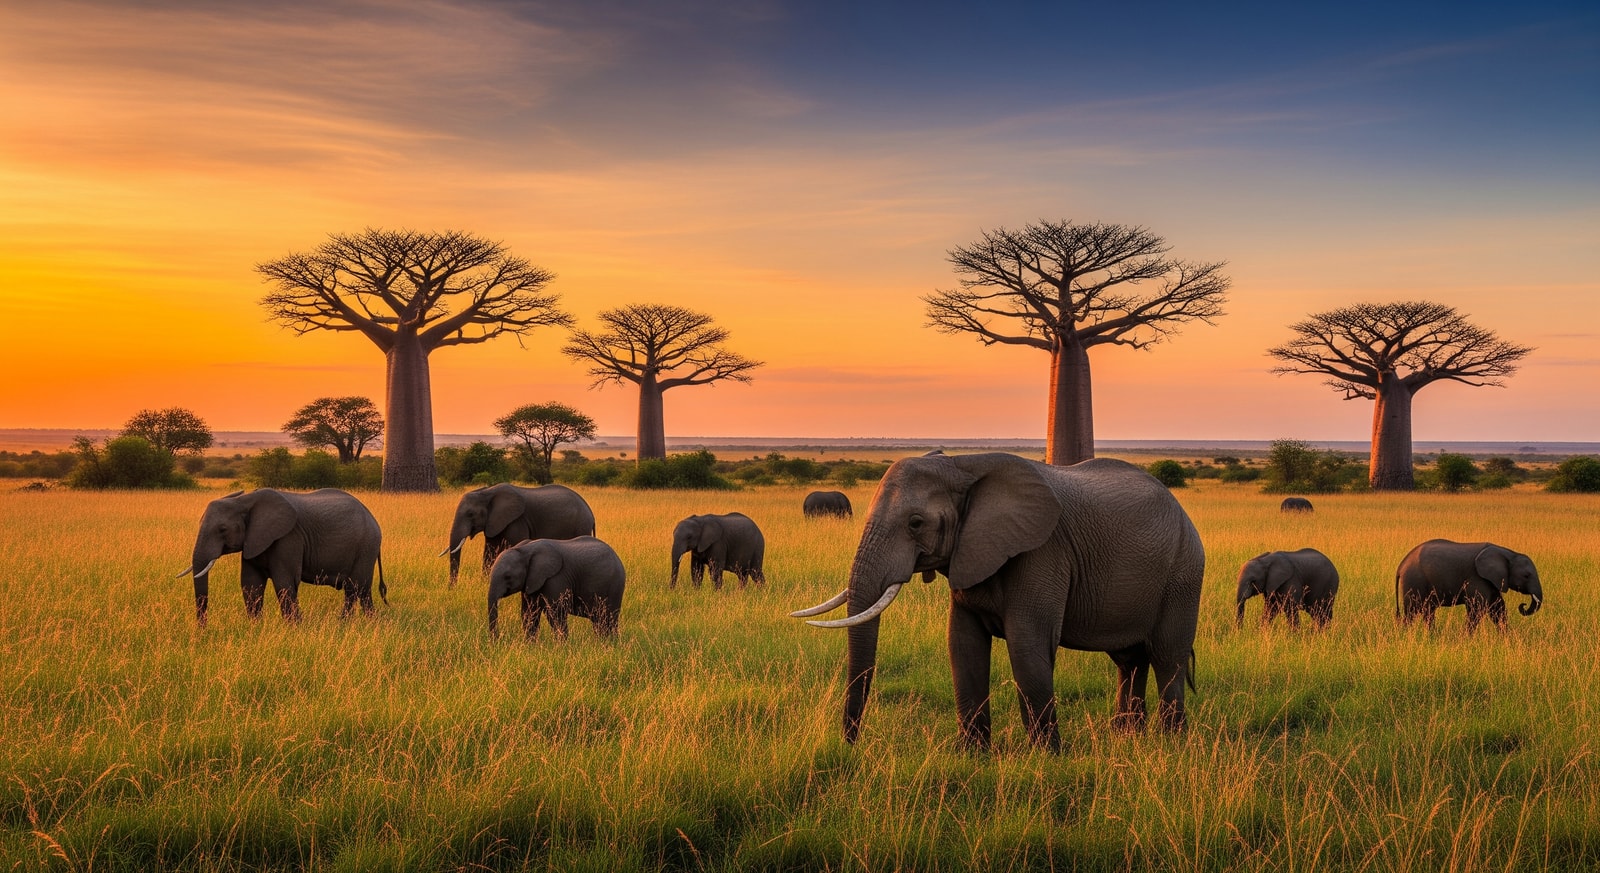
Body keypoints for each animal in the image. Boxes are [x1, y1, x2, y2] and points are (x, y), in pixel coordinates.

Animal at [177, 488, 385, 626]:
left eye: (222, 529)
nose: (202, 630)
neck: (244, 501)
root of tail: (373, 518)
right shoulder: (253, 540)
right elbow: (250, 584)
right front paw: (255, 628)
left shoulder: (288, 538)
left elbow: (284, 582)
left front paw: (295, 627)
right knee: (363, 589)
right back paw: (370, 622)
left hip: (366, 545)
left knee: (354, 587)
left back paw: (343, 623)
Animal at [442, 483, 596, 586]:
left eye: (470, 514)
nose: (451, 589)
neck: (487, 492)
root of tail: (590, 512)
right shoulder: (493, 522)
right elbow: (489, 553)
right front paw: (484, 584)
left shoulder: (517, 521)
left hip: (581, 525)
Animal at [487, 537, 626, 640]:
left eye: (507, 576)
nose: (497, 639)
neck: (525, 549)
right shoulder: (531, 581)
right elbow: (529, 613)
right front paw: (530, 646)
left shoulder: (556, 578)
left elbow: (556, 613)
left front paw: (561, 647)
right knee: (600, 621)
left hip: (614, 587)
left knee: (607, 619)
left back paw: (609, 643)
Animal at [792, 452, 1205, 751]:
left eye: (915, 523)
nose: (851, 746)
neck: (963, 465)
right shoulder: (969, 552)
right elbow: (963, 645)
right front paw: (972, 757)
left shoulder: (1042, 552)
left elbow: (1027, 646)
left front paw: (1048, 759)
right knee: (1130, 661)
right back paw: (1129, 740)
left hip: (1183, 573)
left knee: (1167, 658)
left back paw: (1171, 746)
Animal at [1396, 539, 1543, 633]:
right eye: (1526, 576)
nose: (1523, 606)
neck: (1508, 553)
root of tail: (1401, 565)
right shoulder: (1477, 578)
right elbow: (1477, 608)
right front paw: (1465, 639)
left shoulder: (1491, 580)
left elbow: (1498, 608)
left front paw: (1507, 638)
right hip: (1413, 581)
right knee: (1412, 611)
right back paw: (1406, 635)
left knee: (1428, 611)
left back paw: (1432, 635)